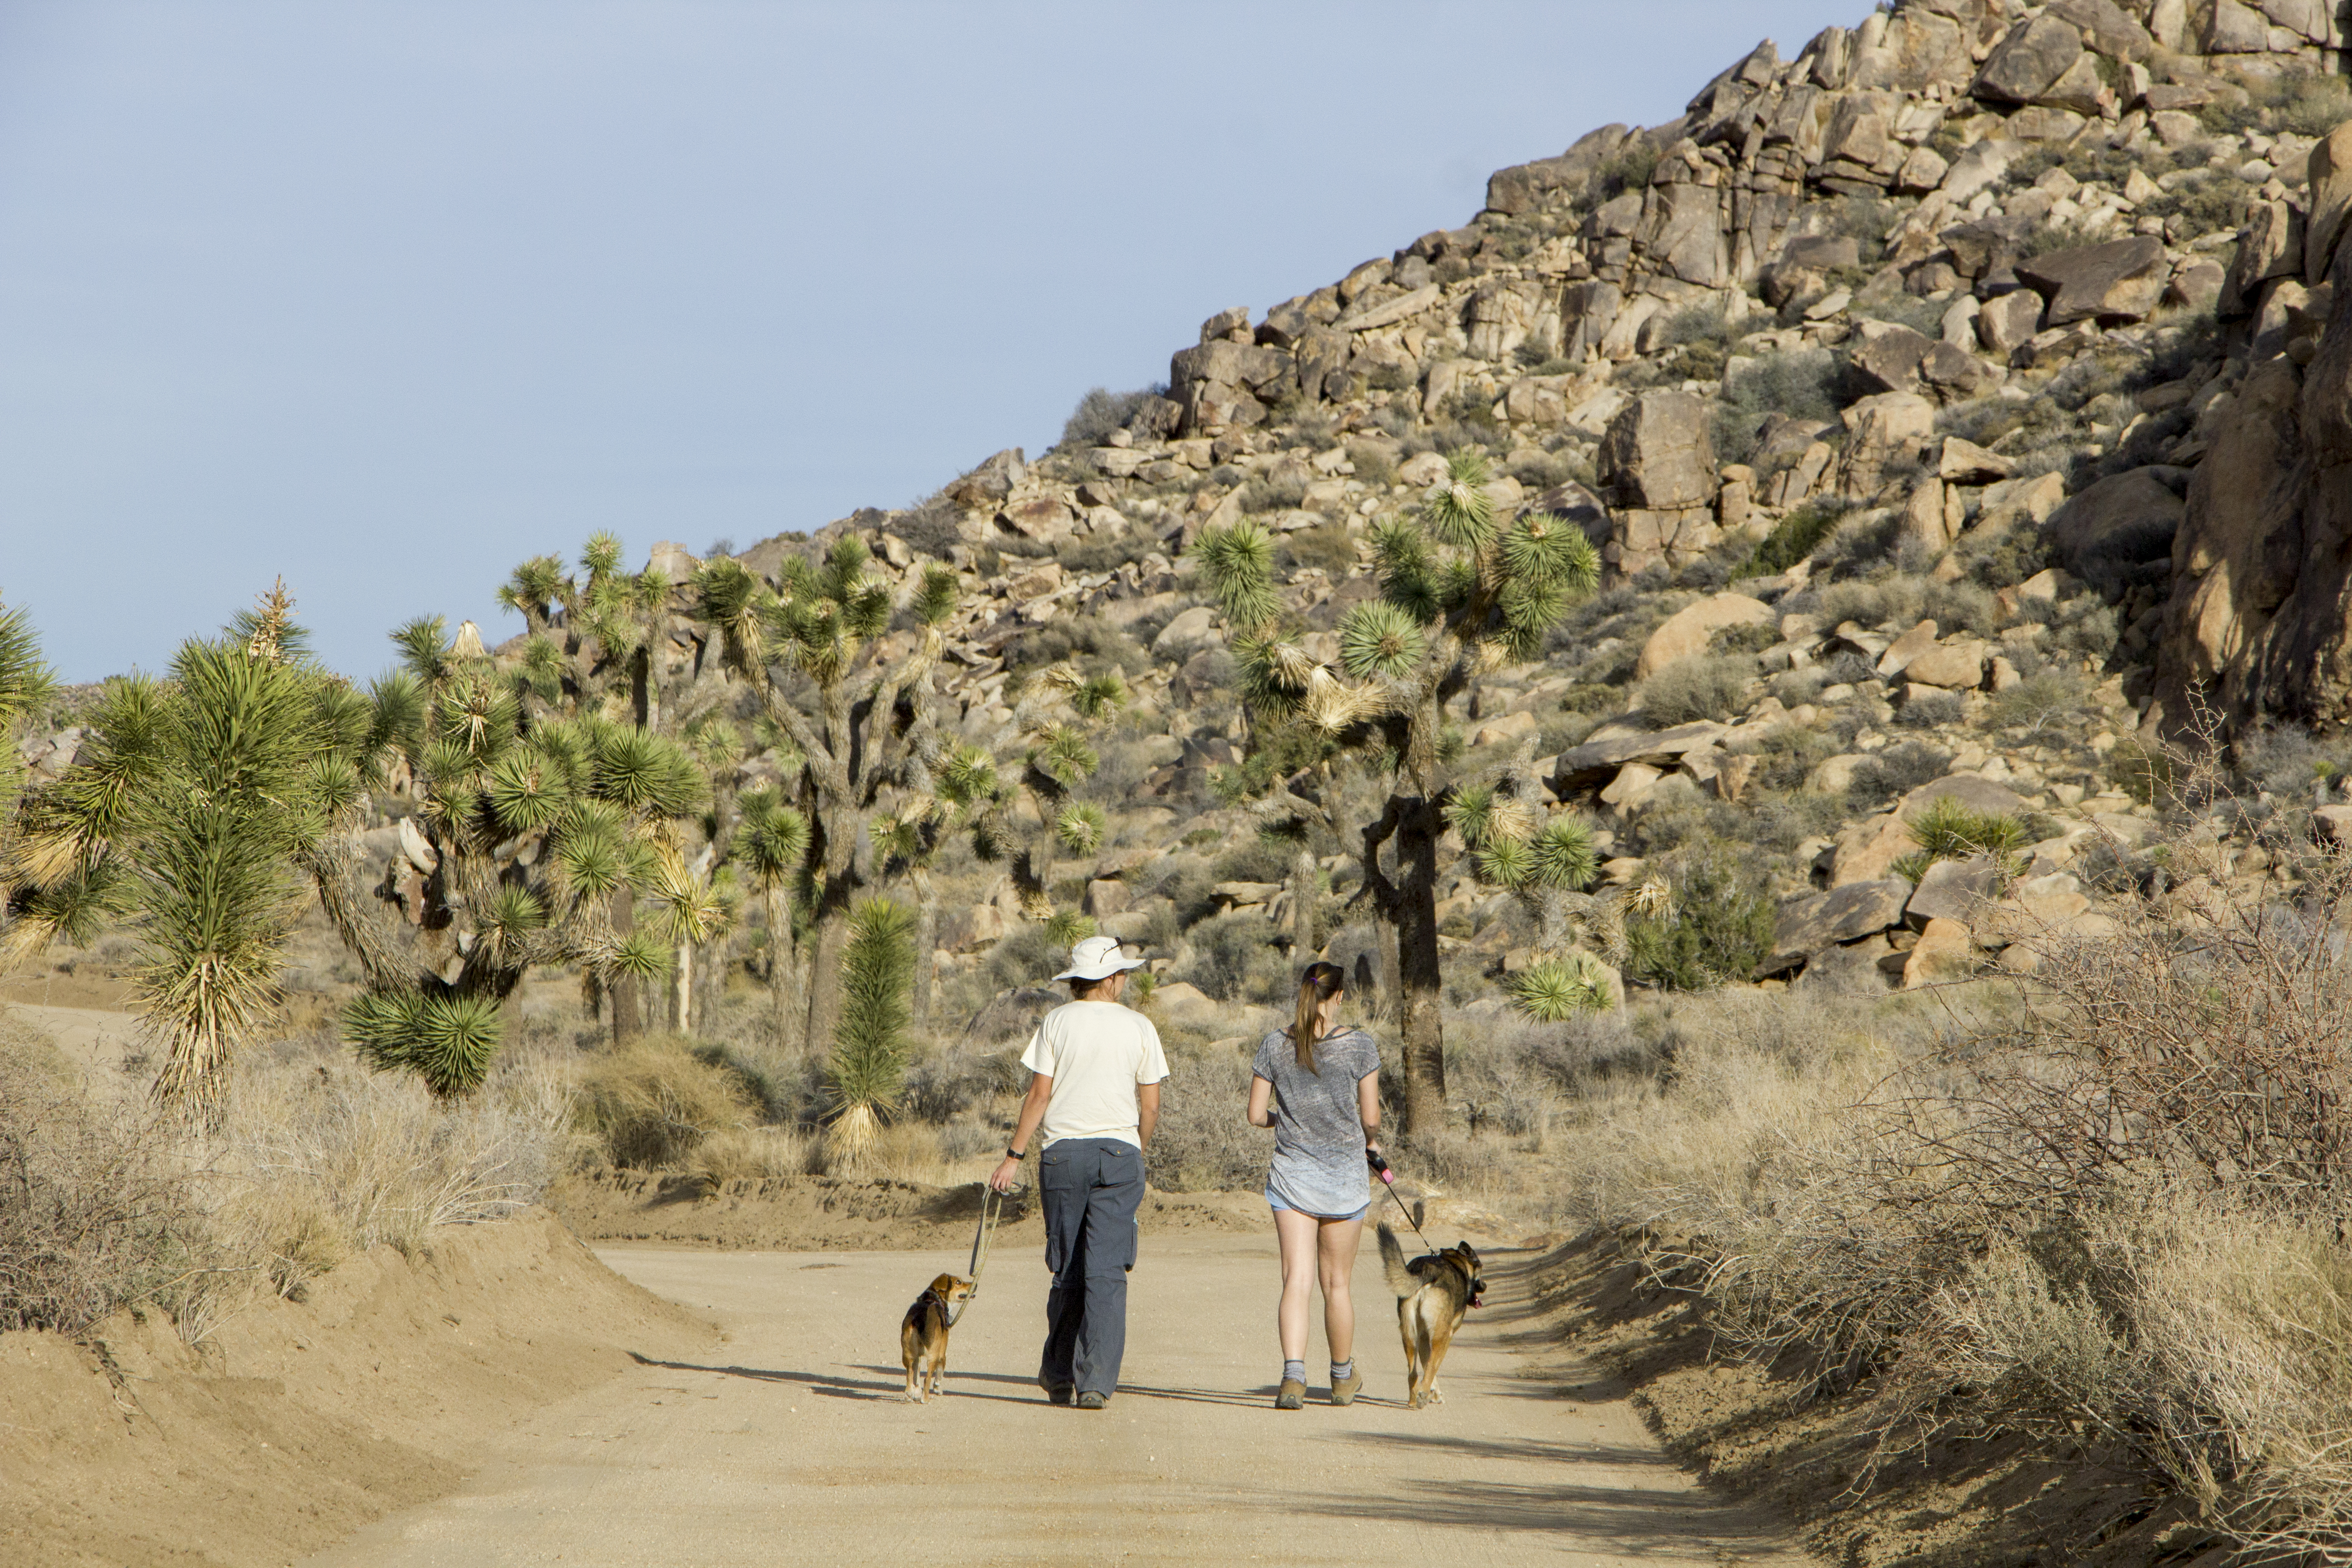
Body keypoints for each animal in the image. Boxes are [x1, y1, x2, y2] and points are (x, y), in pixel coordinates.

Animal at [898, 1279, 974, 1401]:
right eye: (959, 1282)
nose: (975, 1285)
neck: (933, 1299)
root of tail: (921, 1317)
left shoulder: (917, 1357)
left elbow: (916, 1376)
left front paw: (916, 1393)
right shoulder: (942, 1354)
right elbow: (940, 1372)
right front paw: (938, 1389)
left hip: (908, 1354)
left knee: (910, 1373)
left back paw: (909, 1394)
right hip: (934, 1355)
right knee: (927, 1378)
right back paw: (925, 1399)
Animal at [1373, 1222, 1486, 1410]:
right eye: (1481, 1268)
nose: (1485, 1286)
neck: (1457, 1263)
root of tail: (1426, 1271)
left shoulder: (1424, 1338)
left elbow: (1426, 1365)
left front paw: (1435, 1393)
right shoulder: (1446, 1337)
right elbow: (1433, 1367)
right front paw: (1433, 1394)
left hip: (1409, 1335)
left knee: (1413, 1374)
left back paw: (1413, 1400)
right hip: (1440, 1337)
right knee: (1431, 1368)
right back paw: (1423, 1396)